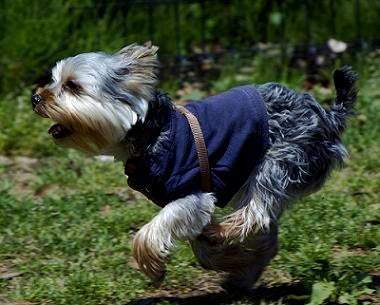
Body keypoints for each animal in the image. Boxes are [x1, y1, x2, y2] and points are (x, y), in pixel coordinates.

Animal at [31, 42, 358, 290]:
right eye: (53, 80)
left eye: (72, 86)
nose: (35, 98)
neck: (150, 131)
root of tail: (328, 116)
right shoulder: (194, 203)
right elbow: (200, 247)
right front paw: (232, 260)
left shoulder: (192, 192)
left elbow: (153, 231)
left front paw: (153, 265)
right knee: (267, 234)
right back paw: (242, 276)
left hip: (279, 160)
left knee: (256, 213)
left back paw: (224, 233)